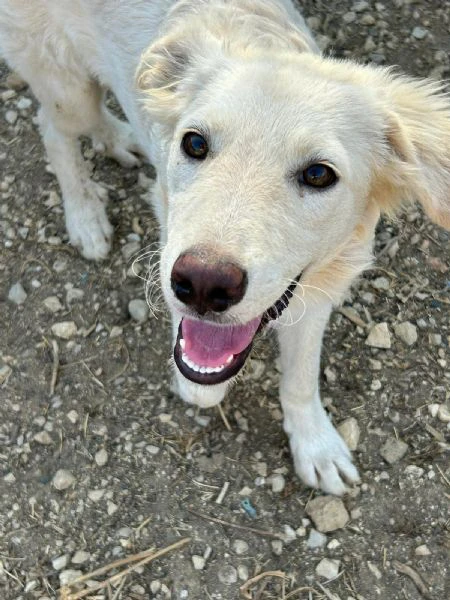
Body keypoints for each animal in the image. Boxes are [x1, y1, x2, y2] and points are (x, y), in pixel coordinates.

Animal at [0, 1, 450, 496]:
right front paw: (199, 388)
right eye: (194, 143)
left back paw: (119, 140)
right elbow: (201, 378)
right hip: (65, 87)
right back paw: (85, 216)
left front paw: (316, 446)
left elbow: (301, 378)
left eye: (318, 174)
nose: (201, 284)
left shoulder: (317, 292)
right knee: (54, 128)